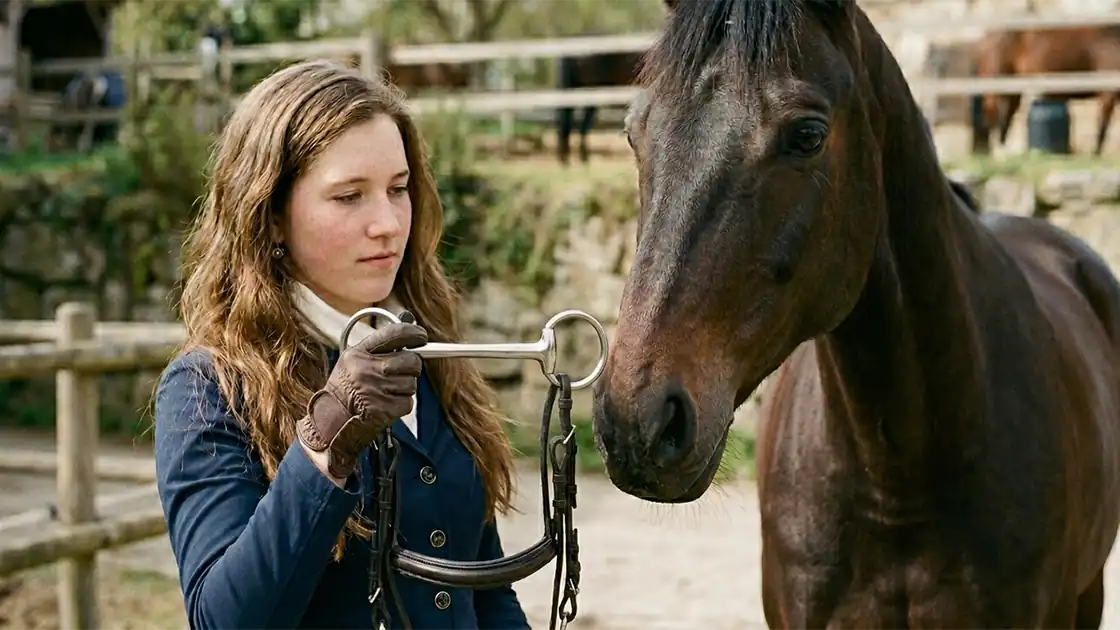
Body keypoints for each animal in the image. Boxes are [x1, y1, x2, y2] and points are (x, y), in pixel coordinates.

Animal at [970, 27, 1120, 154]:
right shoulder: (1108, 94)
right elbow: (1103, 126)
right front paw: (1096, 154)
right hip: (995, 91)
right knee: (991, 118)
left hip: (1013, 93)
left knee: (1004, 119)